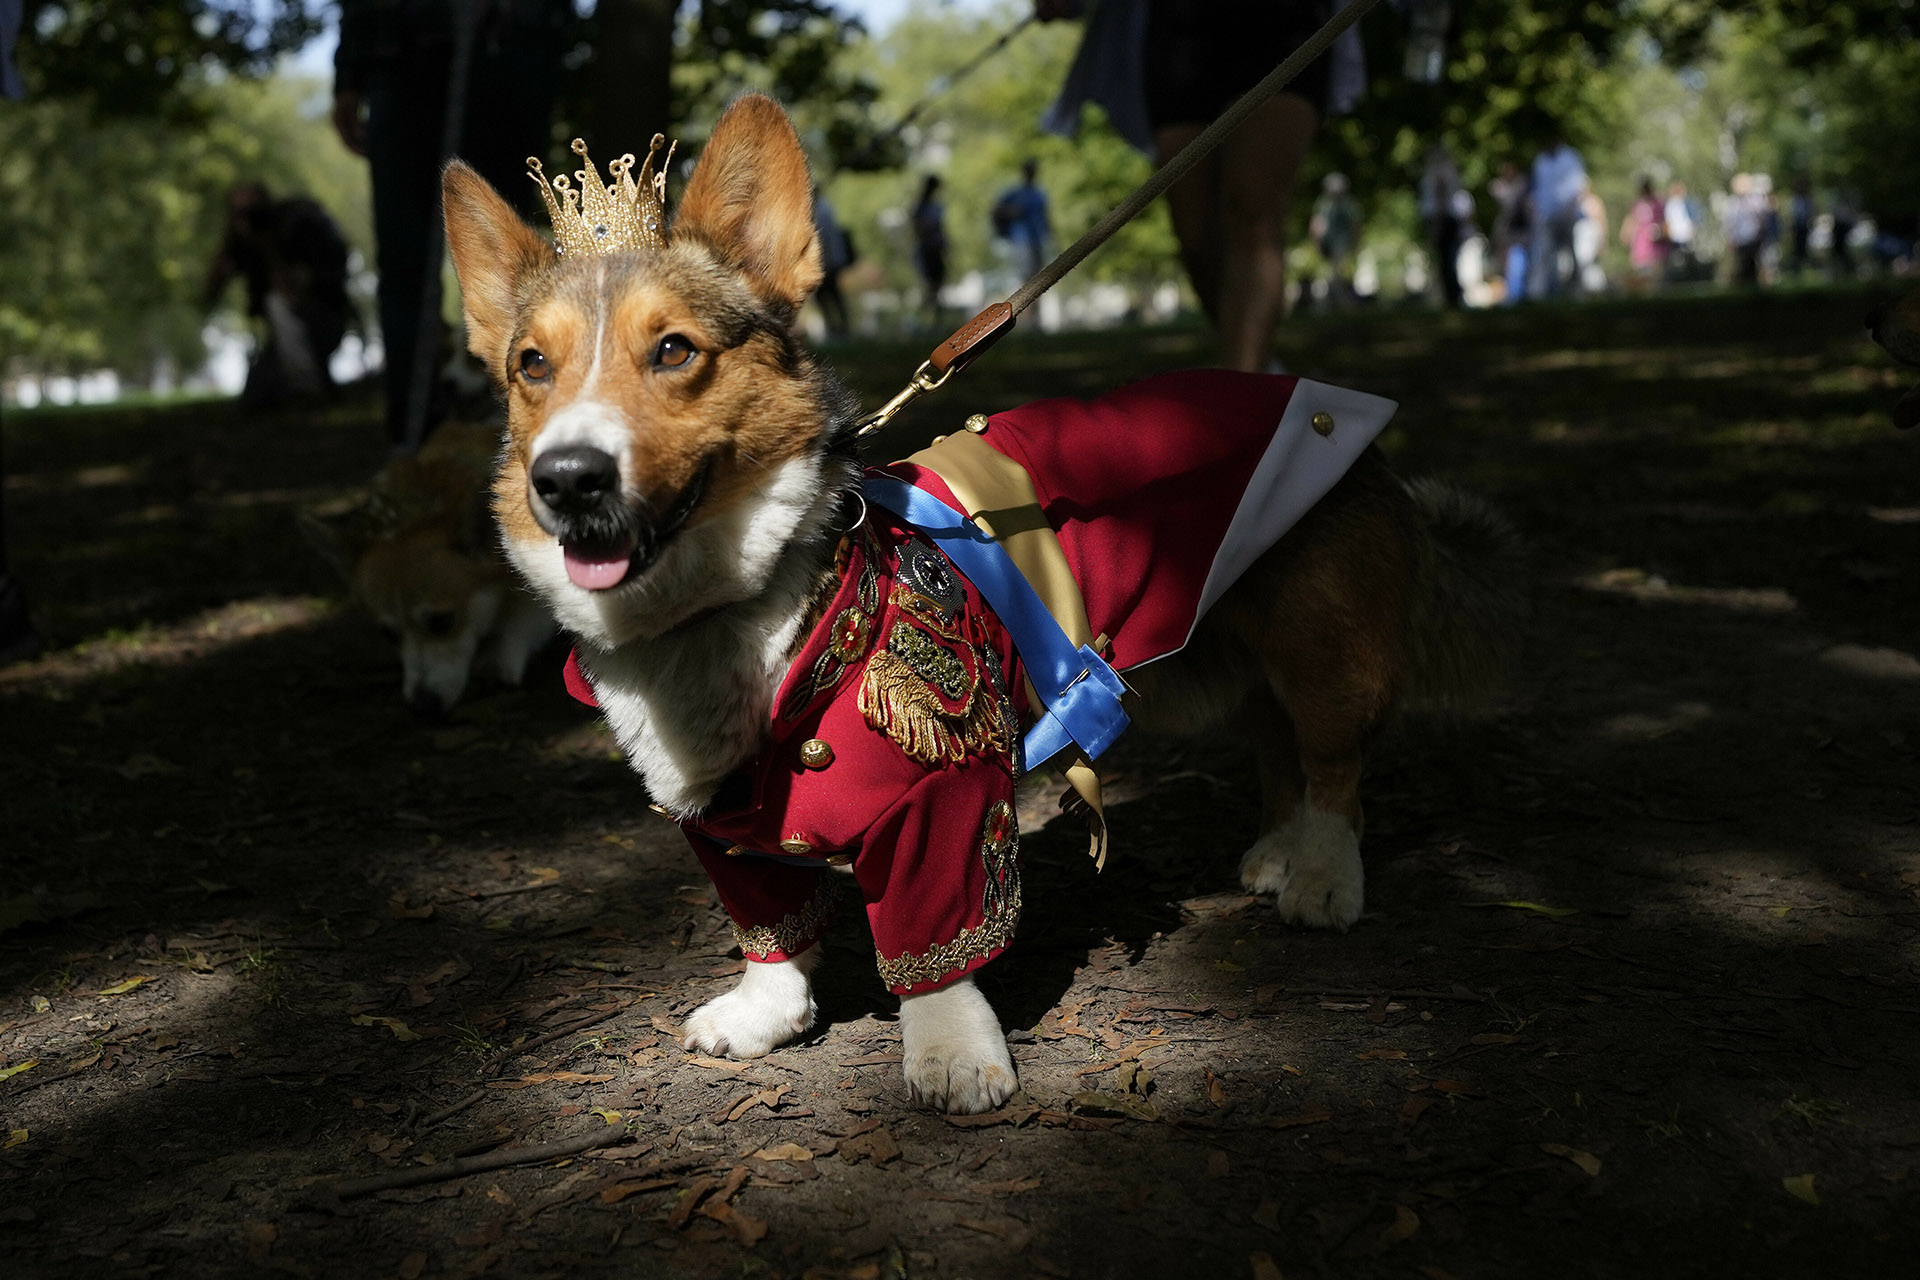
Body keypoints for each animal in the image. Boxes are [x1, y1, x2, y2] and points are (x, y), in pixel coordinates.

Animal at [441, 92, 1520, 1113]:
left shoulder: (945, 799)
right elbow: (771, 935)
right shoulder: (723, 833)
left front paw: (952, 1058)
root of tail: (1352, 424)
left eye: (672, 351)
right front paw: (761, 1015)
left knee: (1335, 765)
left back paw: (1323, 878)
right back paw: (1276, 853)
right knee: (1275, 747)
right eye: (530, 365)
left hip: (1320, 646)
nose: (565, 480)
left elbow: (936, 948)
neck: (725, 613)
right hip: (1239, 646)